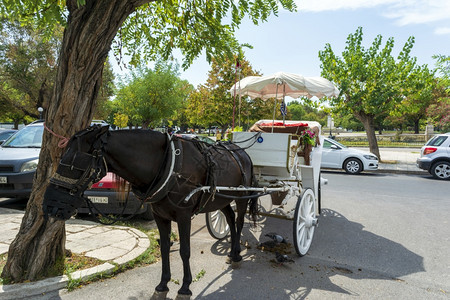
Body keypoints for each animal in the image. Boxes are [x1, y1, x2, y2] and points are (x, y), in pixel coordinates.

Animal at [44, 124, 258, 298]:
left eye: (75, 163)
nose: (49, 205)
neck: (168, 165)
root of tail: (241, 152)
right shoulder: (159, 216)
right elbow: (164, 248)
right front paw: (163, 284)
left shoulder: (184, 216)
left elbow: (185, 250)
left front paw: (185, 287)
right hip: (222, 199)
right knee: (230, 218)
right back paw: (232, 253)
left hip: (242, 196)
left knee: (239, 221)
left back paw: (237, 254)